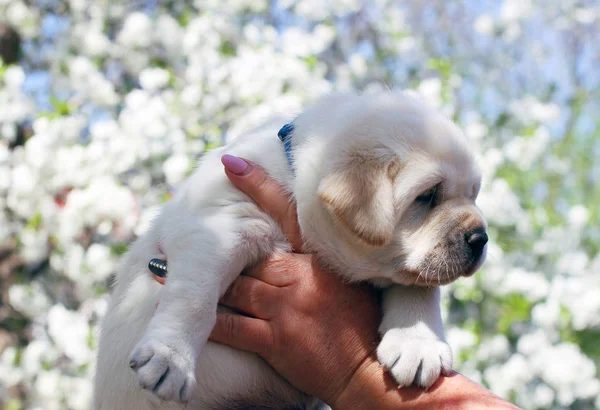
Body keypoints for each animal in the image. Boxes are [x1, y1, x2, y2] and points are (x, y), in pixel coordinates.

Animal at [94, 91, 488, 408]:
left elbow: (419, 286)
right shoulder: (221, 225)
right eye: (428, 195)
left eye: (474, 194)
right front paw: (171, 357)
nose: (481, 238)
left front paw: (418, 343)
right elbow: (194, 298)